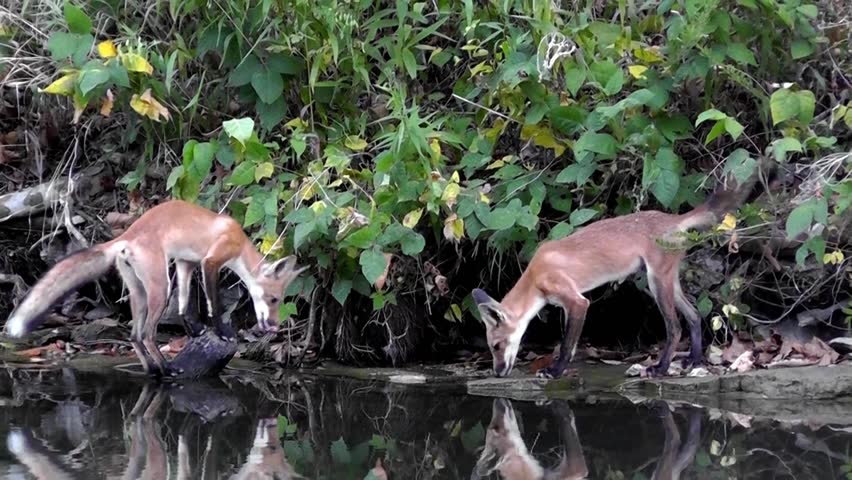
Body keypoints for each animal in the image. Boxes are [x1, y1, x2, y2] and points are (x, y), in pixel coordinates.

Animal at [3, 200, 308, 377]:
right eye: (274, 299)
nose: (274, 327)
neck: (240, 245)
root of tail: (127, 234)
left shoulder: (185, 263)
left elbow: (185, 304)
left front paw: (194, 329)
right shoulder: (210, 261)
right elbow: (213, 304)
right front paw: (222, 331)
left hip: (140, 292)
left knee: (135, 335)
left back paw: (153, 371)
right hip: (160, 288)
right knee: (148, 334)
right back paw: (167, 368)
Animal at [473, 164, 768, 379]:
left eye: (496, 346)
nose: (497, 373)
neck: (535, 277)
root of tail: (671, 219)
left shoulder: (577, 302)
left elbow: (566, 346)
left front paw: (555, 372)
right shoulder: (568, 305)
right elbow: (569, 342)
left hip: (656, 283)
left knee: (674, 328)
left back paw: (660, 368)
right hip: (667, 282)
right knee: (694, 317)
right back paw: (694, 360)